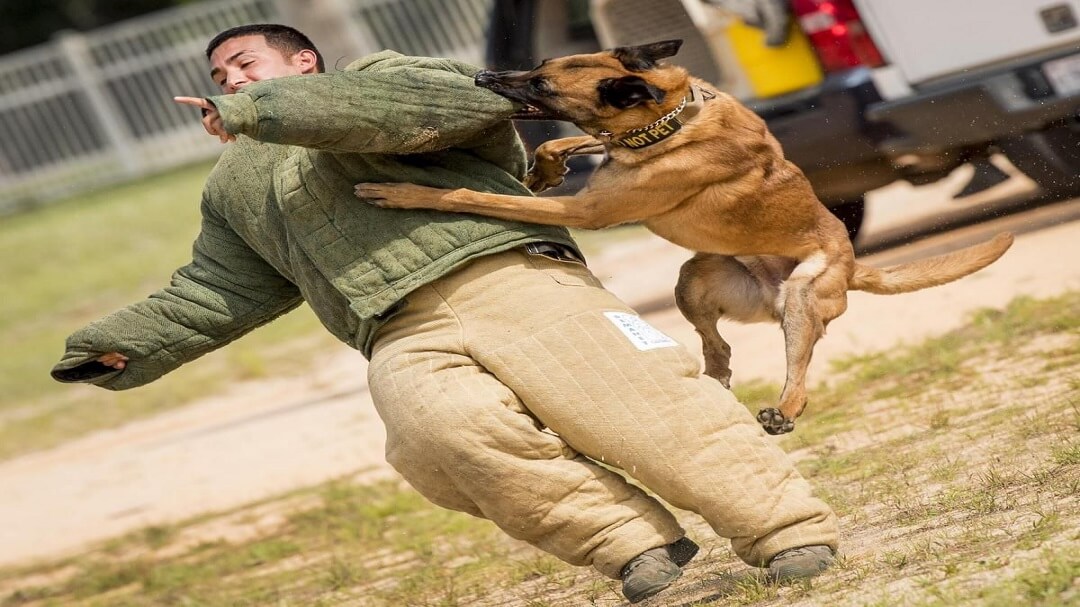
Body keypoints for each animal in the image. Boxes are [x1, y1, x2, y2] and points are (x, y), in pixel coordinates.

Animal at [358, 40, 1015, 432]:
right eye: (537, 67)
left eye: (541, 86)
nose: (483, 74)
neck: (668, 119)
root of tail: (853, 263)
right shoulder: (609, 164)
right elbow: (567, 143)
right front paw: (545, 166)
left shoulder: (592, 210)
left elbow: (476, 196)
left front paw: (406, 193)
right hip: (695, 277)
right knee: (717, 348)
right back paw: (715, 373)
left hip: (802, 300)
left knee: (797, 373)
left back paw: (783, 411)